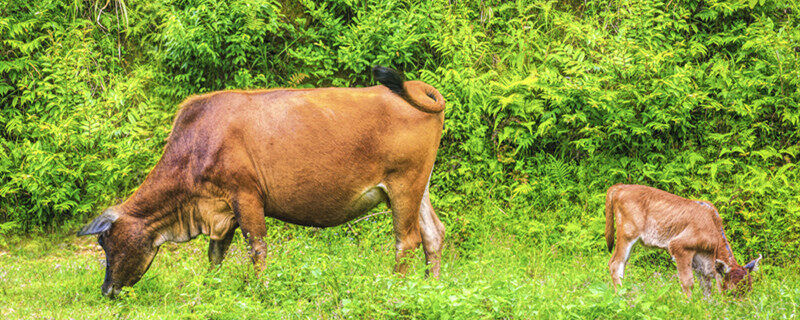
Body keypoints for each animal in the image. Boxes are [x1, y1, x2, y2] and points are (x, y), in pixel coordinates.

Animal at [77, 66, 446, 298]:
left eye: (105, 242)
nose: (106, 290)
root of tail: (416, 88)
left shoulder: (245, 195)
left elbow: (256, 248)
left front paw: (262, 290)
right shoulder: (221, 209)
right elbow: (215, 255)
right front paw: (210, 290)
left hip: (403, 184)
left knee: (406, 240)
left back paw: (396, 289)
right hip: (418, 186)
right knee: (433, 232)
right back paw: (432, 286)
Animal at [608, 184, 764, 298]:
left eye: (749, 289)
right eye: (732, 292)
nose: (739, 309)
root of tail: (621, 187)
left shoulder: (702, 261)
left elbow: (706, 287)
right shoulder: (679, 247)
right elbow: (688, 282)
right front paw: (690, 305)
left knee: (622, 264)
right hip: (627, 234)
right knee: (615, 263)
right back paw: (622, 296)